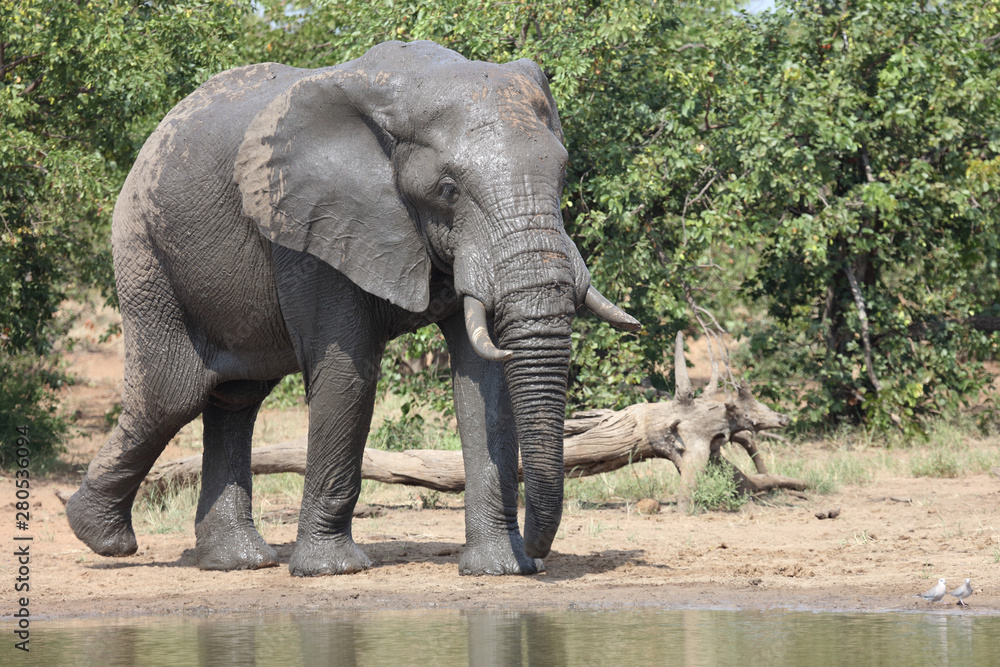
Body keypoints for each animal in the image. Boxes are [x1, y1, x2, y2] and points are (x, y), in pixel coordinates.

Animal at [66, 40, 639, 577]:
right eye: (448, 189)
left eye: (562, 176)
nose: (540, 557)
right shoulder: (313, 224)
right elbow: (349, 372)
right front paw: (331, 570)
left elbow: (483, 381)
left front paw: (502, 570)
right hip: (146, 253)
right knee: (170, 396)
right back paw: (102, 538)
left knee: (235, 397)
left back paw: (237, 561)